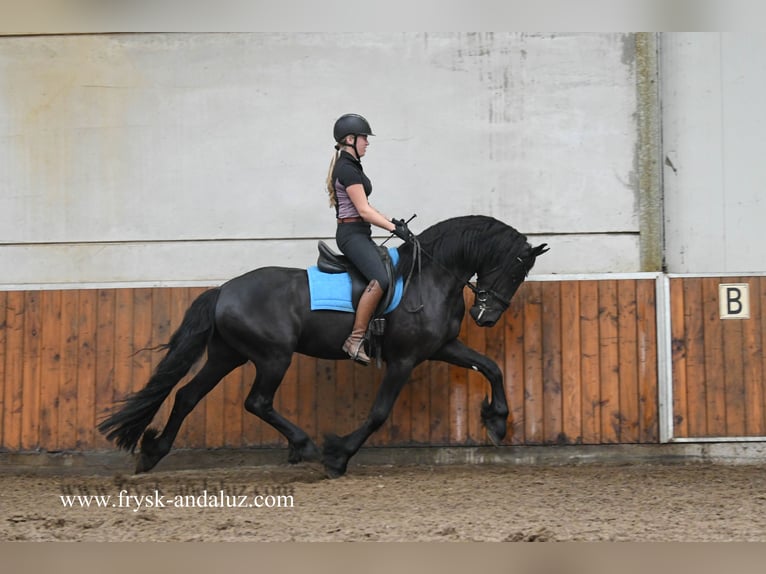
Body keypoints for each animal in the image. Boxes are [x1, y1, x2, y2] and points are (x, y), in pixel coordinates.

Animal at [99, 215, 548, 476]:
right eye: (515, 270)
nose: (486, 316)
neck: (429, 277)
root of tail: (224, 290)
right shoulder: (404, 359)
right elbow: (379, 413)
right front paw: (338, 455)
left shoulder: (441, 346)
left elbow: (491, 366)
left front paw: (497, 421)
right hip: (272, 357)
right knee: (257, 402)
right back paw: (307, 447)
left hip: (228, 355)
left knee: (187, 396)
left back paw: (153, 452)